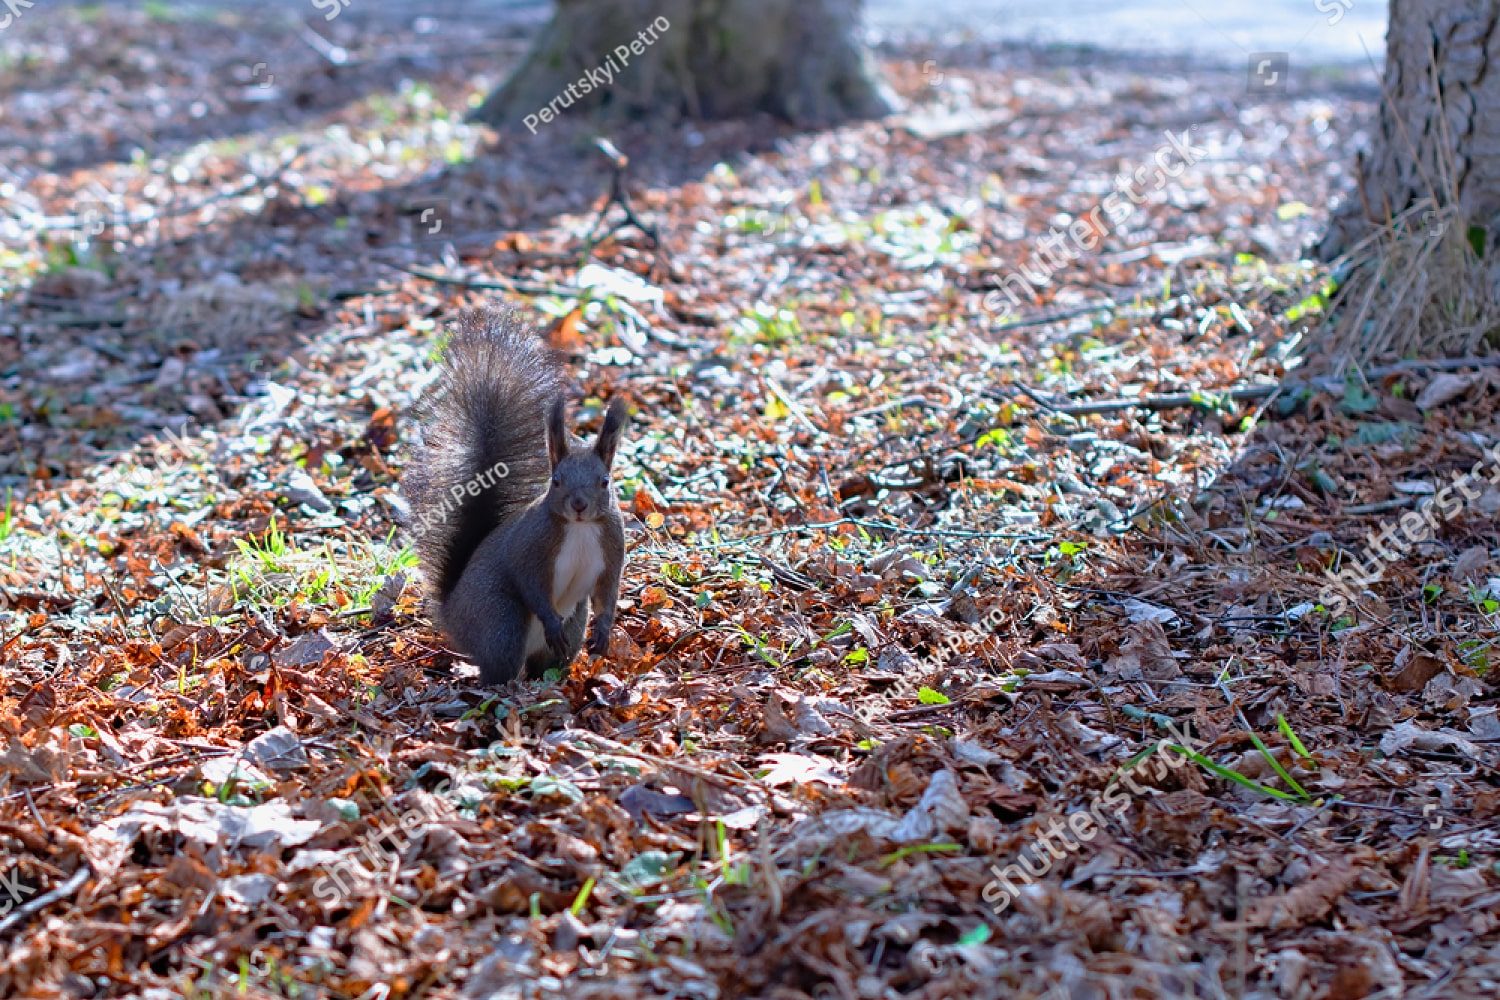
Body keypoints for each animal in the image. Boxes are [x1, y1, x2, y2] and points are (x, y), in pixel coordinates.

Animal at [402, 308, 627, 685]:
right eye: (556, 481)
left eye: (605, 482)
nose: (579, 505)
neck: (580, 528)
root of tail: (452, 612)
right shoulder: (531, 545)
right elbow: (529, 582)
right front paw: (552, 620)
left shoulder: (612, 544)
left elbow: (608, 592)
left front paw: (605, 632)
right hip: (501, 623)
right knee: (499, 667)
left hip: (572, 623)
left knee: (547, 662)